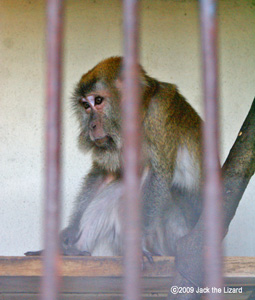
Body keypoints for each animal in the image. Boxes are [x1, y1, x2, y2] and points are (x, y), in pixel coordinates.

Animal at [25, 57, 201, 258]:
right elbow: (105, 173)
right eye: (86, 106)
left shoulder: (160, 113)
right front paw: (72, 227)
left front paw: (140, 240)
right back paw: (72, 251)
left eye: (98, 100)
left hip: (177, 233)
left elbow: (158, 173)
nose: (91, 125)